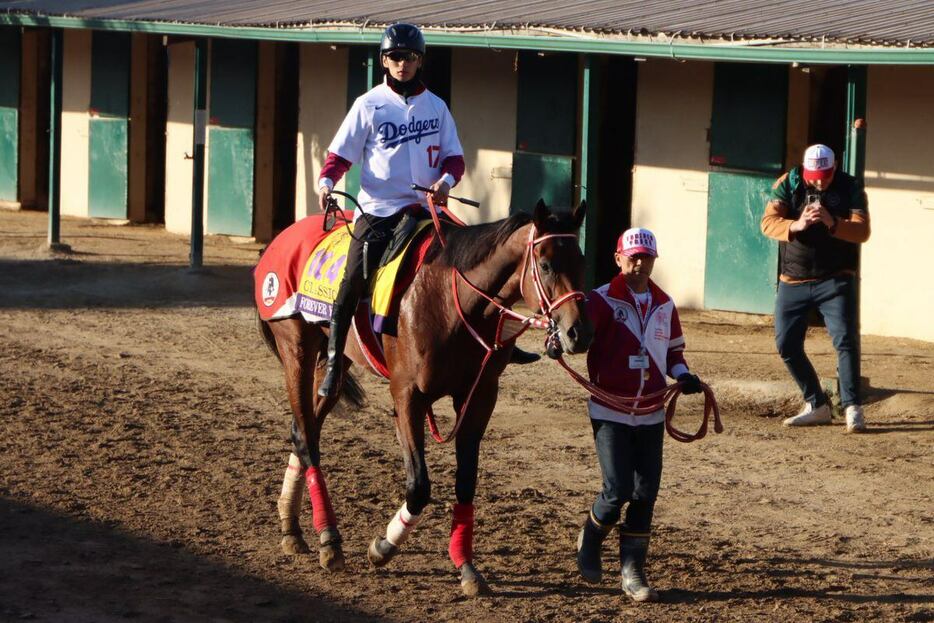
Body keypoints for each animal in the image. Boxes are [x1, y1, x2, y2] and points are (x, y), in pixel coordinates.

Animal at [256, 197, 592, 596]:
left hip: (334, 366)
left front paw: (466, 566)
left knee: (302, 430)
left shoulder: (479, 397)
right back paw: (329, 539)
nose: (578, 333)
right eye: (545, 264)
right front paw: (382, 547)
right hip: (296, 348)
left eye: (582, 261)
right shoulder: (407, 397)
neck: (449, 302)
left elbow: (466, 483)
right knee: (307, 436)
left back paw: (292, 529)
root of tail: (280, 240)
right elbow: (418, 486)